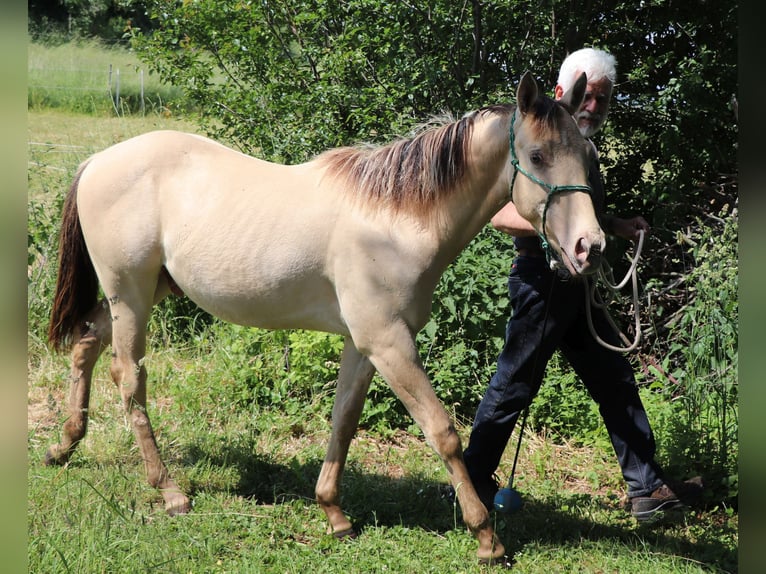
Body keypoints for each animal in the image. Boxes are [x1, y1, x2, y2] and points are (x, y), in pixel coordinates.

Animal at [43, 72, 608, 568]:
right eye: (537, 156)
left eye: (588, 156)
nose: (591, 247)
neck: (396, 220)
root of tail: (98, 160)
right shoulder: (389, 343)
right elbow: (442, 430)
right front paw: (486, 537)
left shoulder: (365, 344)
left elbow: (344, 420)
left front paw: (334, 513)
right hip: (131, 295)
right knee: (129, 380)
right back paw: (170, 491)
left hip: (141, 293)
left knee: (85, 346)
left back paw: (63, 446)